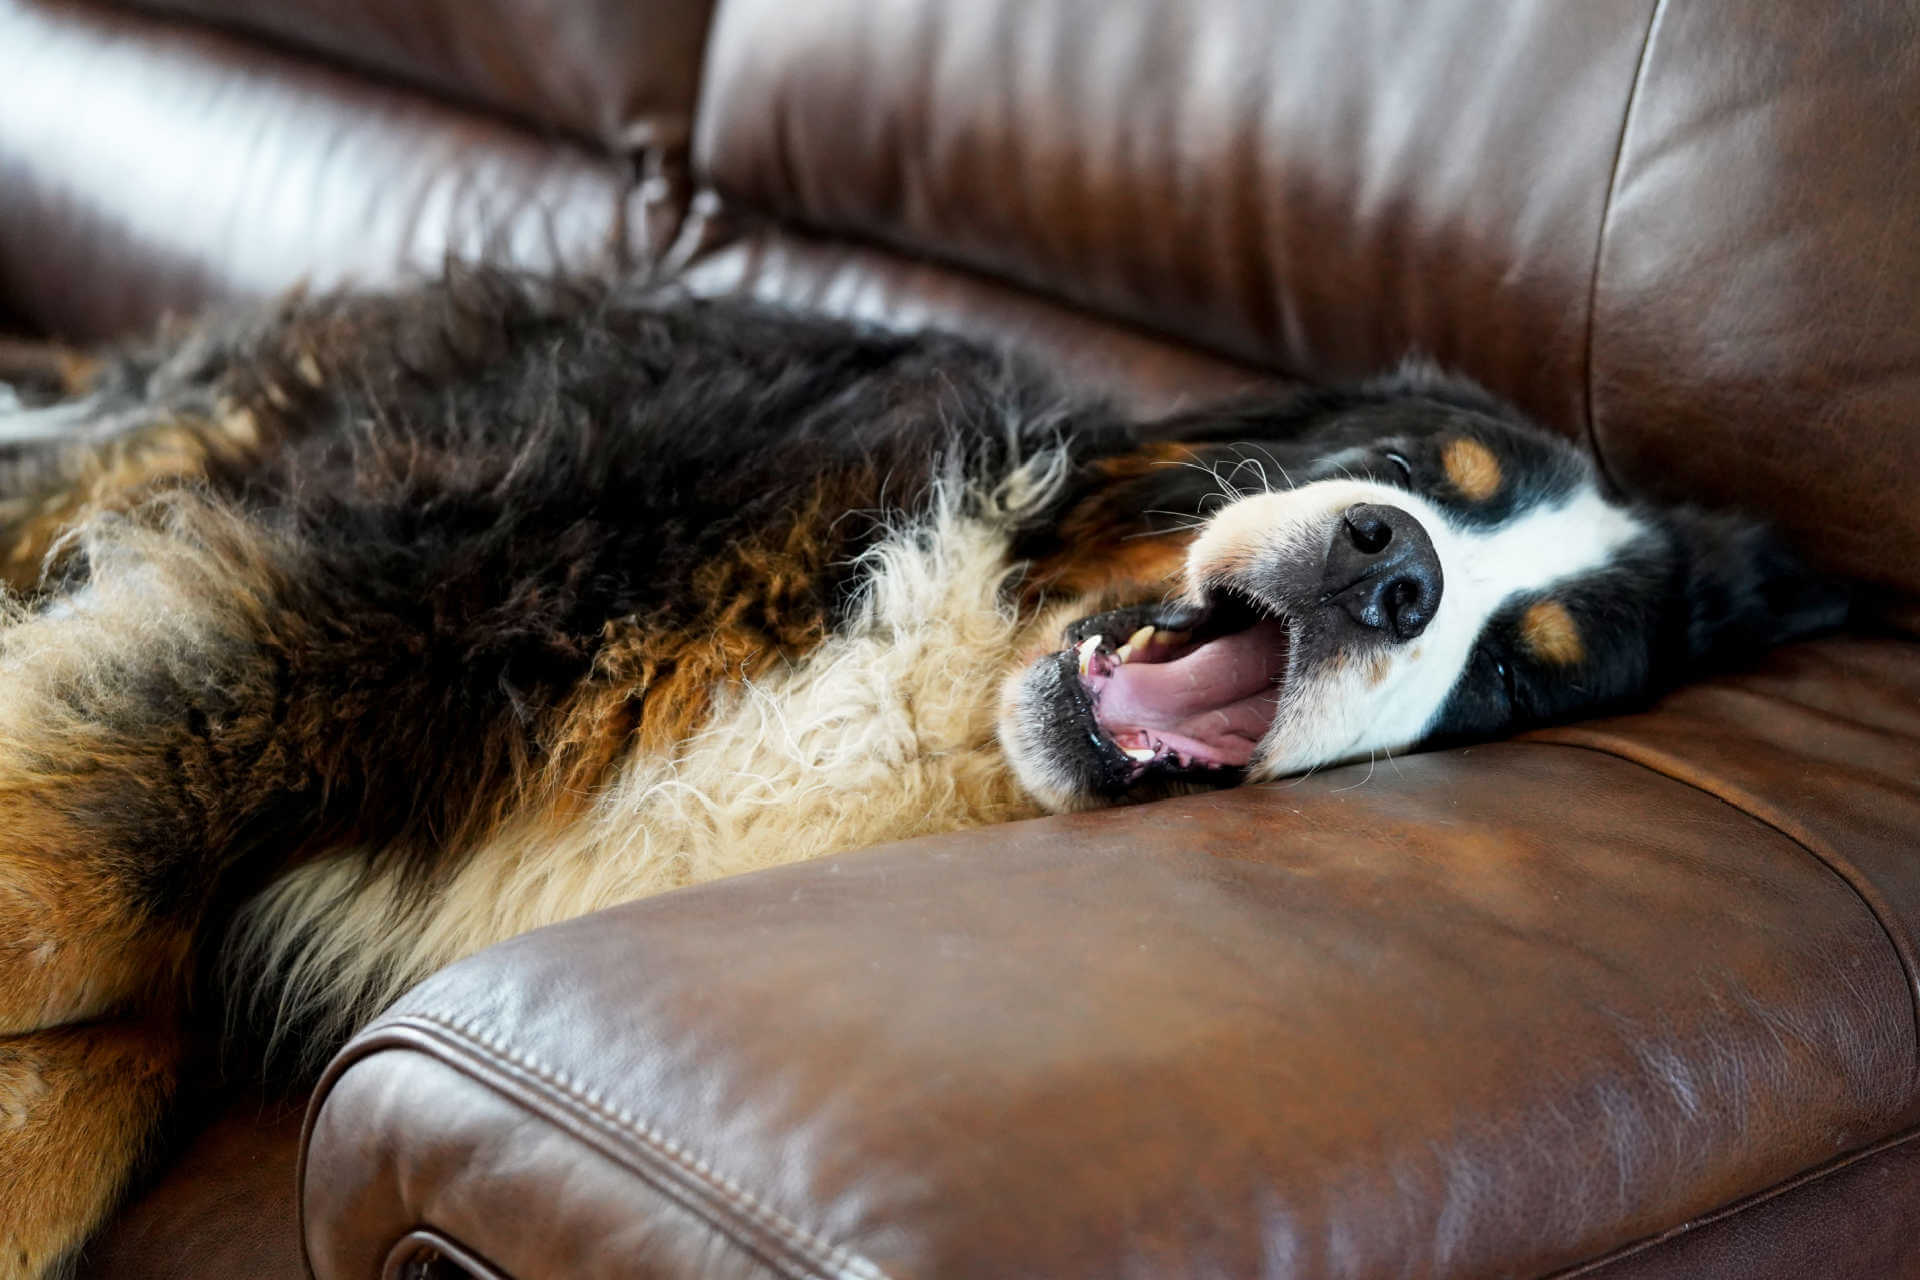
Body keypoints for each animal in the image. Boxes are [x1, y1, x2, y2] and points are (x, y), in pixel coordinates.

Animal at [0, 270, 1843, 1274]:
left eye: (1523, 676)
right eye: (1410, 468)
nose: (1391, 570)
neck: (944, 680)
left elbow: (100, 1038)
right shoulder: (395, 585)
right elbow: (81, 877)